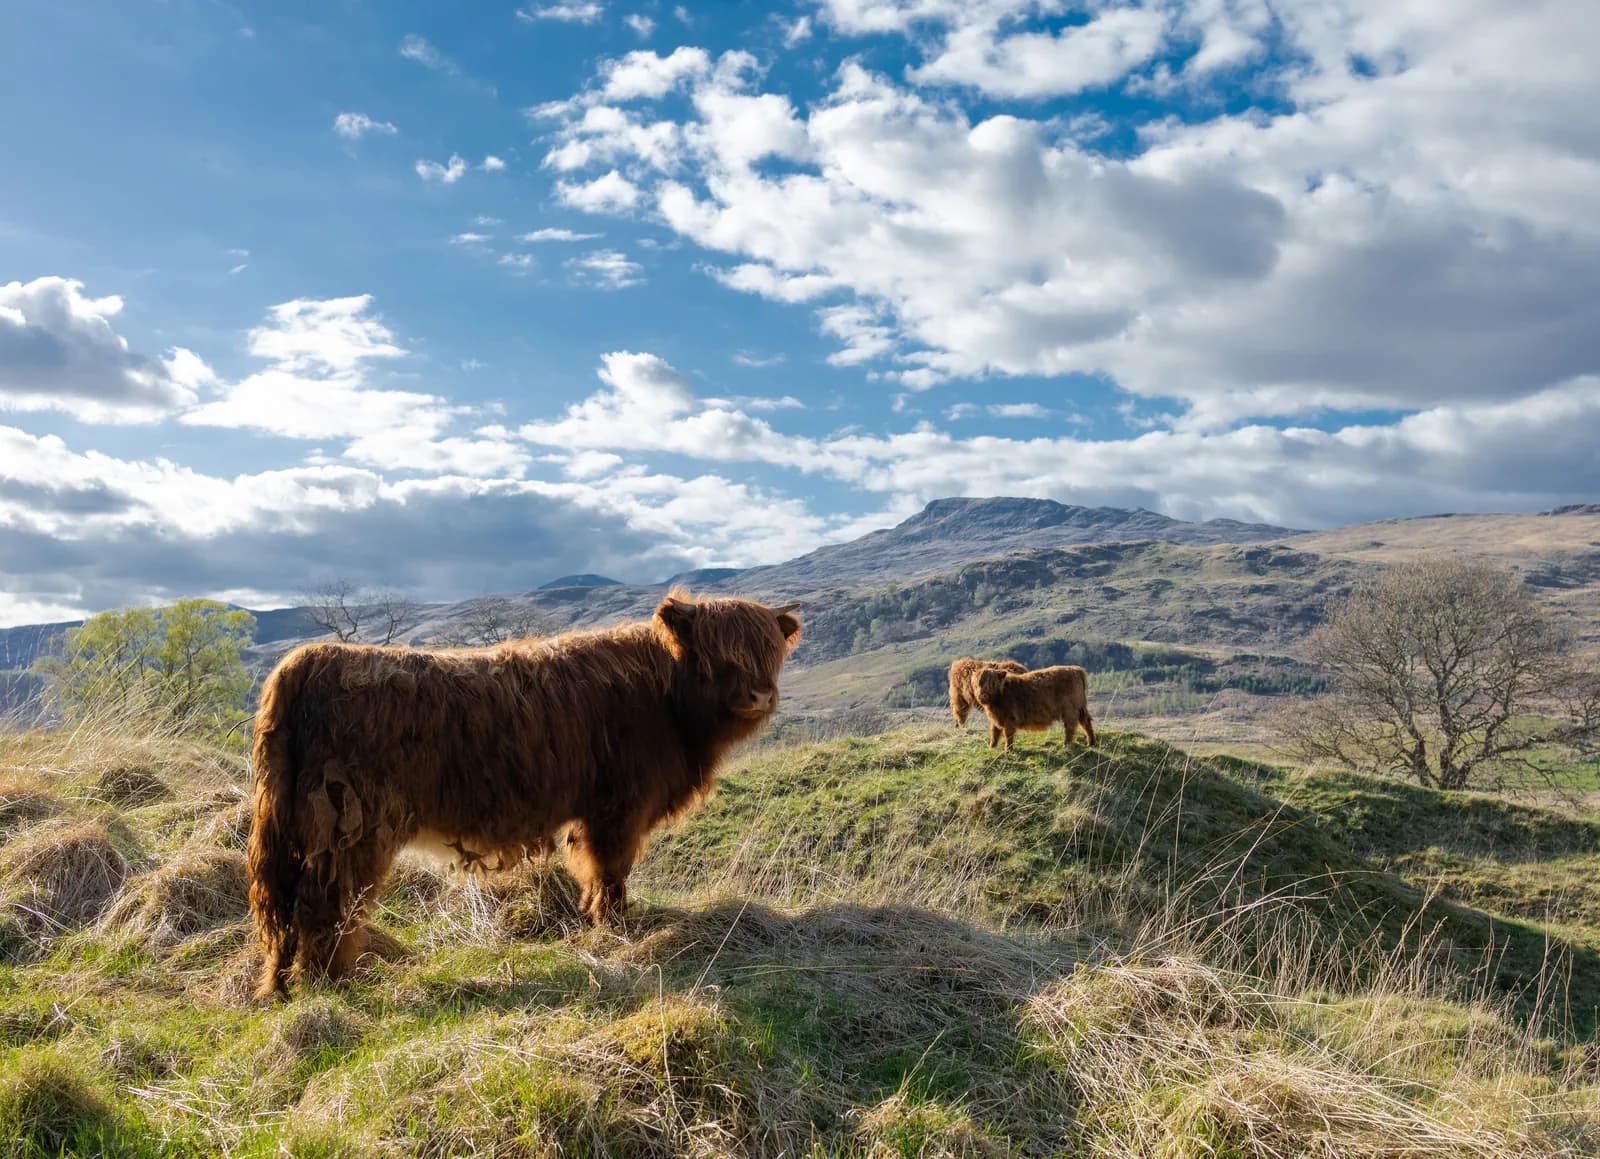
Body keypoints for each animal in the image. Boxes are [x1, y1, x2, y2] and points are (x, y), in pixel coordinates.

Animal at [246, 592, 801, 1000]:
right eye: (719, 654)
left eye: (768, 653)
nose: (760, 695)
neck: (666, 698)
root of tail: (309, 659)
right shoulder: (618, 808)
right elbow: (611, 870)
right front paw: (616, 927)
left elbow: (595, 872)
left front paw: (597, 920)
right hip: (347, 828)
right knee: (324, 905)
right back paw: (330, 983)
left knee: (287, 907)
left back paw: (285, 987)